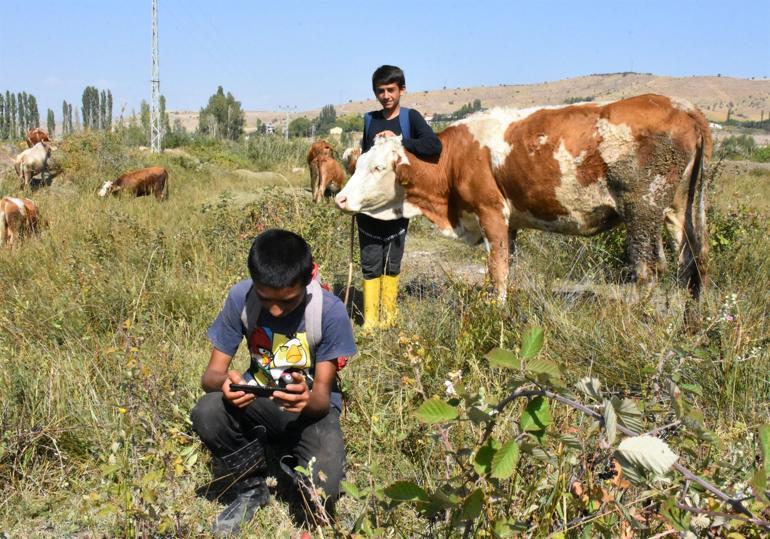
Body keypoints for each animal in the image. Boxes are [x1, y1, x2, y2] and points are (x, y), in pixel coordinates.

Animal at [334, 95, 708, 302]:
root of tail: (679, 104)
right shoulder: (509, 223)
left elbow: (497, 270)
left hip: (641, 210)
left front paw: (496, 314)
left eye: (378, 167)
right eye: (358, 163)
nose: (340, 199)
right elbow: (505, 267)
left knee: (649, 270)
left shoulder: (490, 212)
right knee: (690, 265)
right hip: (678, 210)